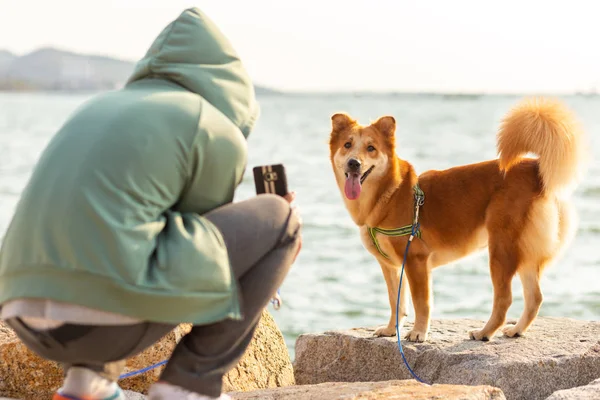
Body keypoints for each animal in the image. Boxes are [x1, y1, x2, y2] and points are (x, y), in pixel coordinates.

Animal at [328, 98, 584, 342]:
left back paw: (485, 332)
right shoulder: (391, 267)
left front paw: (419, 333)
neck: (389, 192)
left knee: (504, 299)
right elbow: (396, 302)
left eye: (371, 148)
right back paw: (516, 330)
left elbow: (421, 303)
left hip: (501, 250)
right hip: (524, 252)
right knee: (535, 297)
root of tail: (535, 169)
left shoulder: (415, 260)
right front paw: (392, 330)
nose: (354, 163)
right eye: (347, 145)